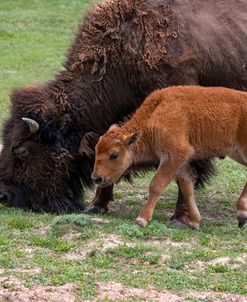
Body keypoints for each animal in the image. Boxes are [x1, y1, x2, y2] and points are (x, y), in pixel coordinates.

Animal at [91, 86, 247, 229]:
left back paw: (241, 215)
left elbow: (156, 185)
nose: (97, 178)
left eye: (114, 154)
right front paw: (194, 222)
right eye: (96, 149)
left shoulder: (173, 156)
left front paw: (142, 219)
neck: (154, 114)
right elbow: (186, 187)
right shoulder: (181, 162)